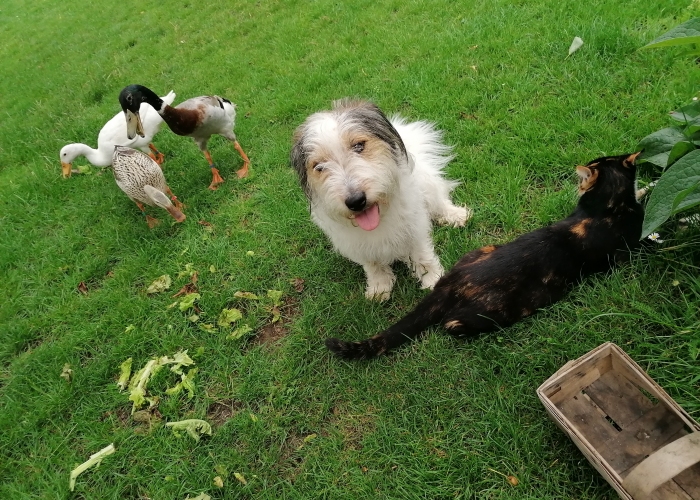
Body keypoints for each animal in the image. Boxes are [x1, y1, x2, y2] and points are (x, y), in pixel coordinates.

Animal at [290, 99, 470, 298]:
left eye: (359, 145)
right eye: (319, 166)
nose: (356, 201)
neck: (380, 216)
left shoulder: (414, 225)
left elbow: (422, 254)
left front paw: (433, 279)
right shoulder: (356, 244)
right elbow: (372, 263)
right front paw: (379, 285)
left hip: (428, 187)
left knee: (439, 202)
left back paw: (454, 215)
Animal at [328, 152, 644, 360]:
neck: (605, 208)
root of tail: (451, 284)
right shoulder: (622, 253)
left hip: (481, 250)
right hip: (500, 311)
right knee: (452, 324)